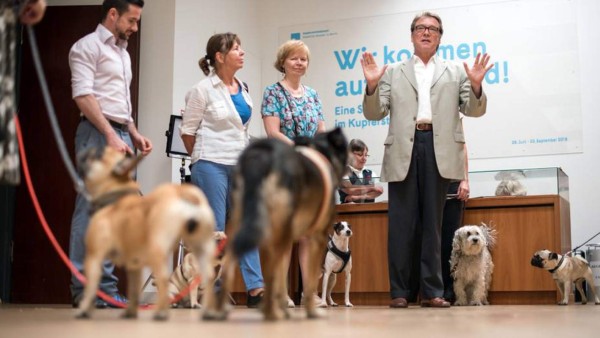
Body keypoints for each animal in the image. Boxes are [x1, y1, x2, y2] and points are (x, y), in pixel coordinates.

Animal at [74, 147, 217, 320]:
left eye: (99, 155)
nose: (88, 149)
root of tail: (184, 194)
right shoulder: (134, 265)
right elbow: (134, 290)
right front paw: (130, 312)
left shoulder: (94, 257)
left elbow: (90, 287)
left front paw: (84, 309)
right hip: (201, 247)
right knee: (208, 278)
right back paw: (208, 311)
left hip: (158, 249)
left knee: (163, 279)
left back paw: (161, 312)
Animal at [204, 128, 350, 320]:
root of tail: (262, 155)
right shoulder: (316, 239)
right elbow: (308, 280)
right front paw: (311, 310)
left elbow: (281, 277)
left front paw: (283, 306)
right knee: (271, 274)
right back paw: (272, 313)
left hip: (247, 227)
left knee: (231, 266)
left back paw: (221, 310)